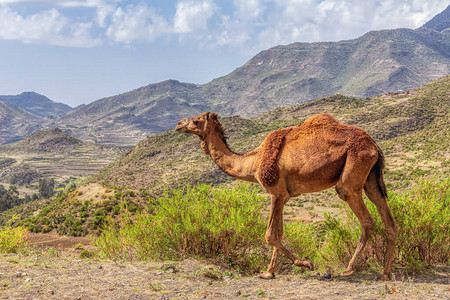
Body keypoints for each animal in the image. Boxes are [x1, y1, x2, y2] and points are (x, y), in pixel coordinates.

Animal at [174, 111, 400, 280]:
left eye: (196, 120)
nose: (178, 125)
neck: (254, 162)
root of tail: (374, 145)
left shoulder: (275, 192)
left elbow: (270, 234)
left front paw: (305, 263)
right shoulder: (284, 196)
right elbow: (279, 232)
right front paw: (269, 272)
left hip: (352, 173)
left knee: (366, 219)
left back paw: (349, 269)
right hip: (371, 177)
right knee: (389, 220)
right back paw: (385, 273)